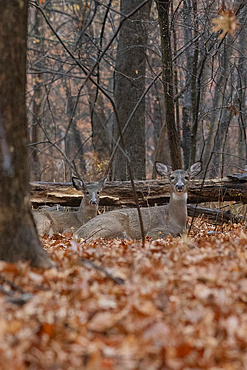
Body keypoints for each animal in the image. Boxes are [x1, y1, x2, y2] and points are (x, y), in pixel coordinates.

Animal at [75, 162, 203, 240]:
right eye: (172, 177)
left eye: (187, 177)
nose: (179, 186)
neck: (174, 219)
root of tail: (77, 233)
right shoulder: (156, 230)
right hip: (111, 225)